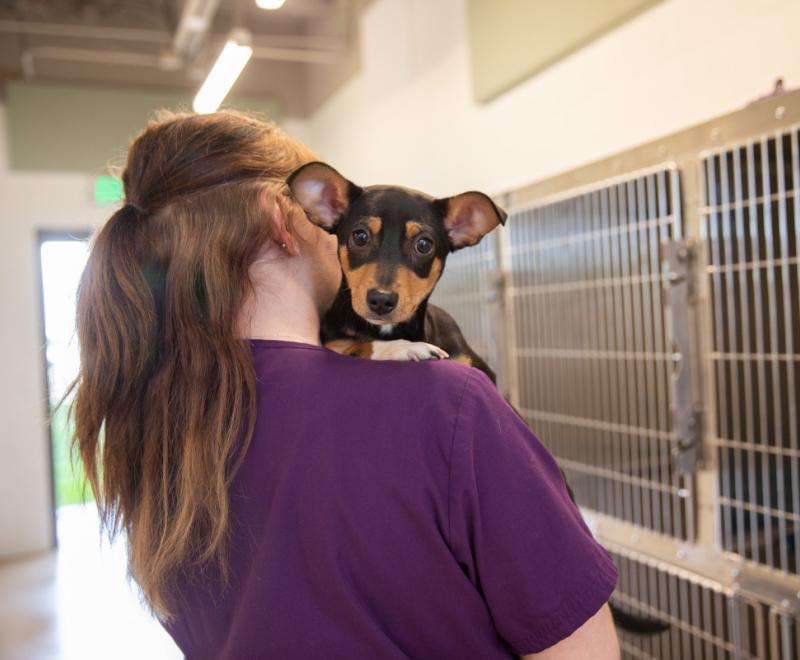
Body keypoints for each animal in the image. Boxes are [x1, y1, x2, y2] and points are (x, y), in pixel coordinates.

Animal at [286, 161, 500, 376]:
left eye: (424, 244)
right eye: (360, 237)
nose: (381, 300)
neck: (387, 329)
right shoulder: (334, 343)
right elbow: (358, 345)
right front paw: (404, 347)